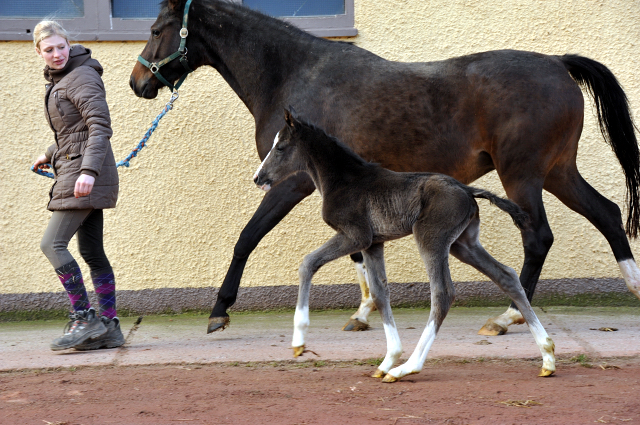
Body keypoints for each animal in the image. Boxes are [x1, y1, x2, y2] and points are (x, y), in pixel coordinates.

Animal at [251, 109, 556, 380]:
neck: (345, 180)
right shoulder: (373, 244)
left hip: (430, 239)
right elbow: (379, 293)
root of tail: (467, 190)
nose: (258, 178)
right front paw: (388, 359)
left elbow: (307, 263)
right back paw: (547, 357)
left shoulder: (355, 236)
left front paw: (299, 341)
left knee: (442, 293)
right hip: (463, 244)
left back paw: (408, 368)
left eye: (280, 147)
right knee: (506, 276)